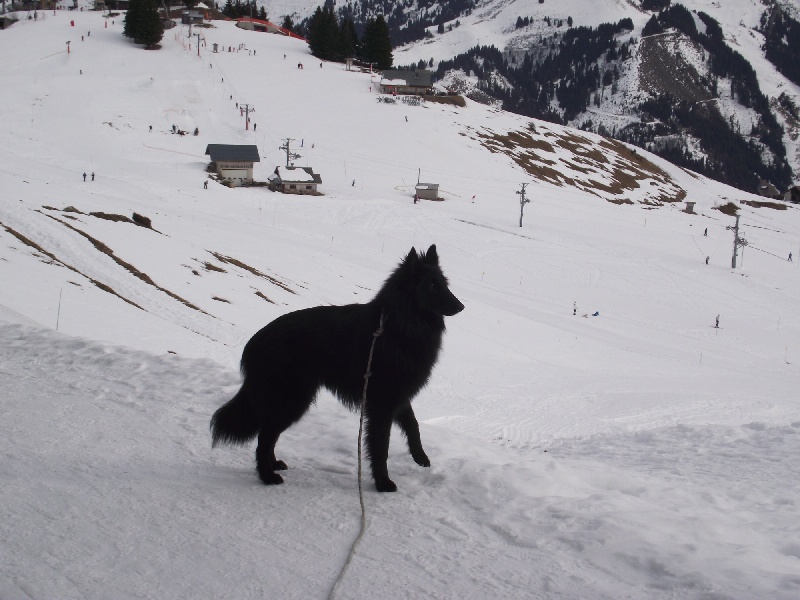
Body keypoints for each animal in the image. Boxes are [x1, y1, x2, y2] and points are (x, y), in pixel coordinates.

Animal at [209, 244, 466, 492]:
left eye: (444, 283)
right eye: (431, 285)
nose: (461, 306)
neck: (398, 325)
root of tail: (254, 342)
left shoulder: (398, 395)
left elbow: (413, 425)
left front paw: (420, 456)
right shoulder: (381, 404)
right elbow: (380, 445)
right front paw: (382, 483)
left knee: (268, 435)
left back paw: (273, 465)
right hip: (292, 400)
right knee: (264, 438)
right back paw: (267, 476)